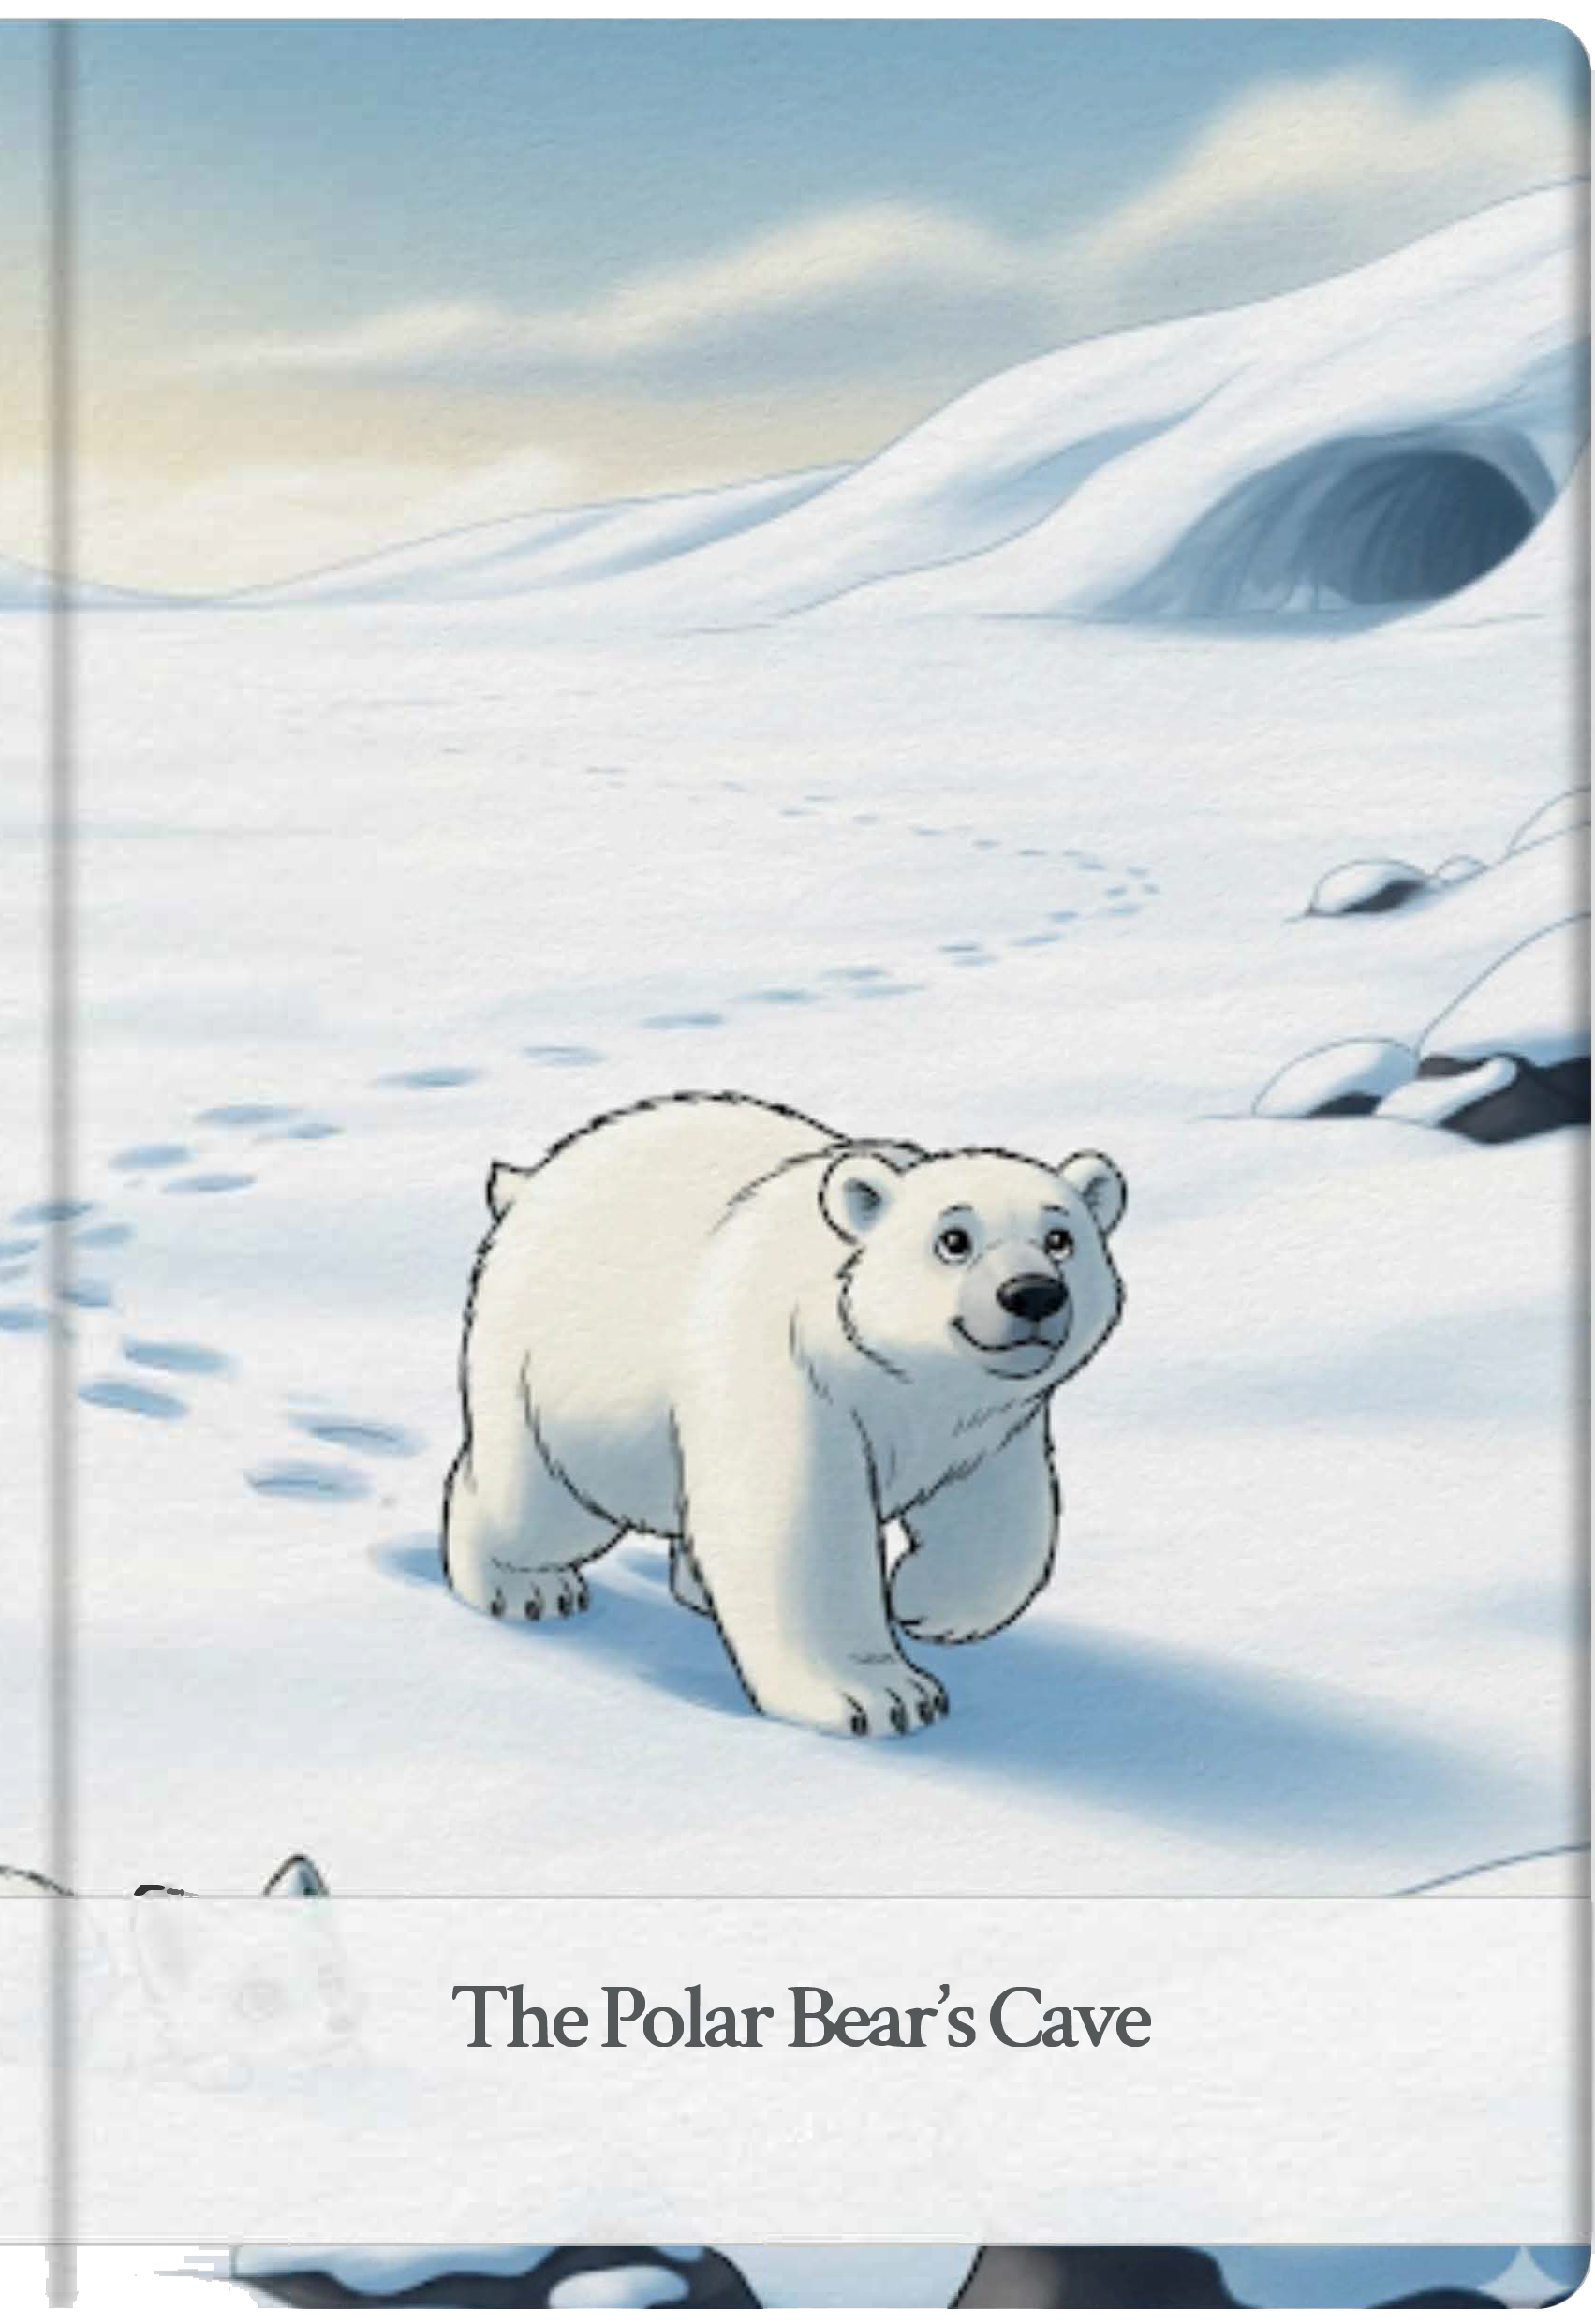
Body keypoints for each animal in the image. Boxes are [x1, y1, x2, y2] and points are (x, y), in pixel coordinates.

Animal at [442, 1094, 1125, 1737]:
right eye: (953, 1240)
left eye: (1061, 1238)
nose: (1033, 1293)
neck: (900, 1380)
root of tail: (529, 1182)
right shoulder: (788, 1366)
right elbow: (796, 1521)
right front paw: (885, 1695)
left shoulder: (989, 1420)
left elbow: (1000, 1512)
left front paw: (926, 1601)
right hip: (549, 1371)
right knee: (541, 1506)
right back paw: (527, 1585)